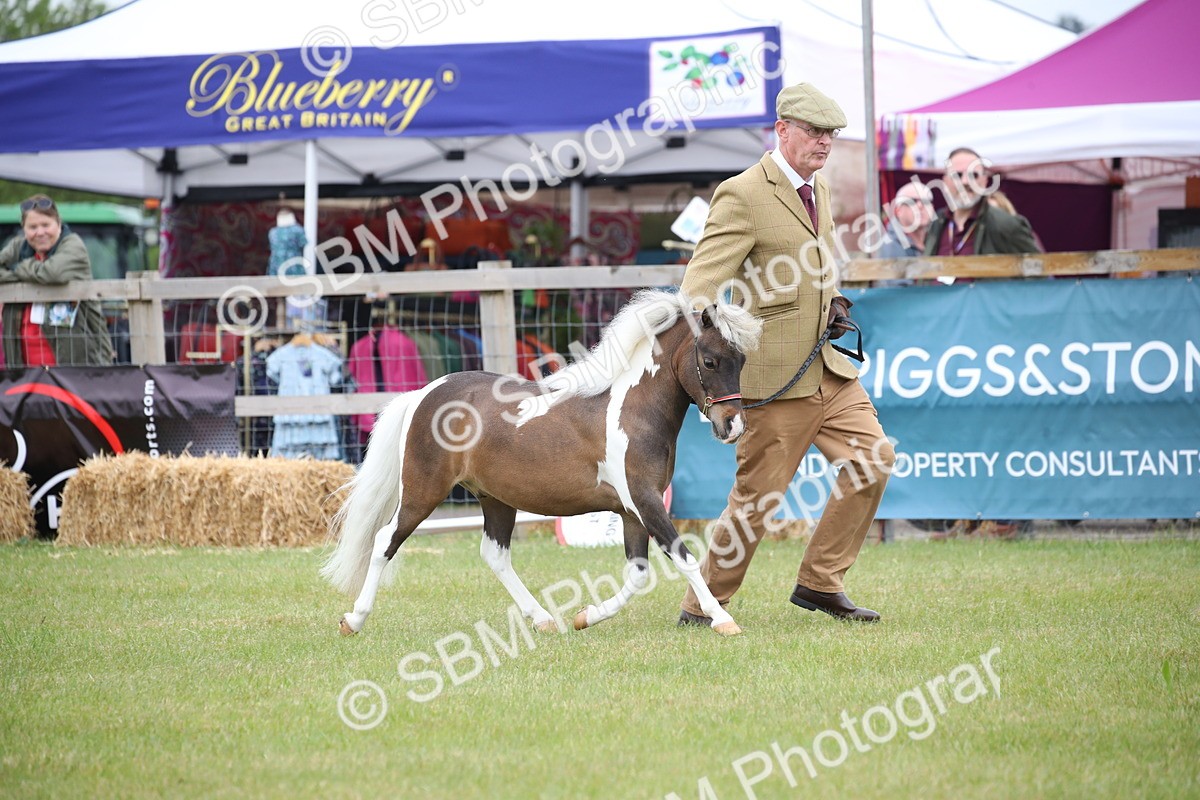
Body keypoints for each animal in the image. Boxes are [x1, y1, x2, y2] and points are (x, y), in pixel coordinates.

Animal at [321, 288, 763, 637]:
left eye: (742, 362)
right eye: (710, 361)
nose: (733, 425)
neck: (633, 409)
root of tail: (423, 394)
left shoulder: (633, 509)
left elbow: (638, 574)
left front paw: (585, 616)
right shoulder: (644, 500)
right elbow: (684, 558)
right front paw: (723, 620)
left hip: (496, 499)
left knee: (495, 555)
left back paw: (544, 619)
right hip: (421, 491)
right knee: (385, 541)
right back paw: (353, 620)